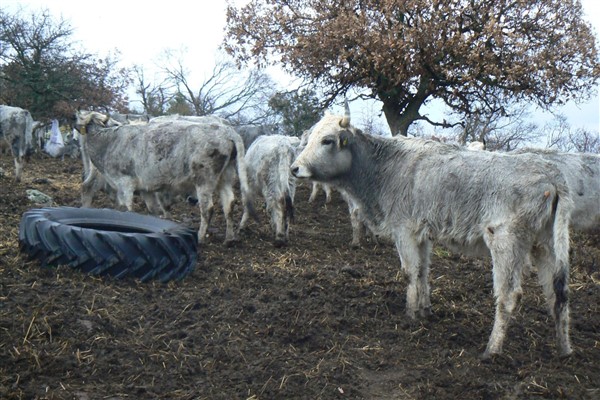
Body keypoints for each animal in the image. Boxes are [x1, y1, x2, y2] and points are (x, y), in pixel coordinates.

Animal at [75, 111, 253, 245]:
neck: (108, 141)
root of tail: (226, 130)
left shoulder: (125, 183)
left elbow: (127, 208)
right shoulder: (145, 188)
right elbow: (152, 210)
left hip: (204, 179)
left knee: (207, 208)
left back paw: (201, 237)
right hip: (226, 176)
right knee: (229, 204)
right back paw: (229, 238)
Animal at [292, 104, 576, 360]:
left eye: (327, 140)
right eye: (310, 138)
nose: (295, 168)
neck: (387, 167)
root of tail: (551, 175)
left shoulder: (404, 231)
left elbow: (409, 272)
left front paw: (410, 315)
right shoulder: (422, 235)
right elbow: (422, 272)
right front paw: (424, 310)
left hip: (506, 243)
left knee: (509, 295)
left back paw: (491, 350)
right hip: (546, 246)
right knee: (558, 294)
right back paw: (564, 350)